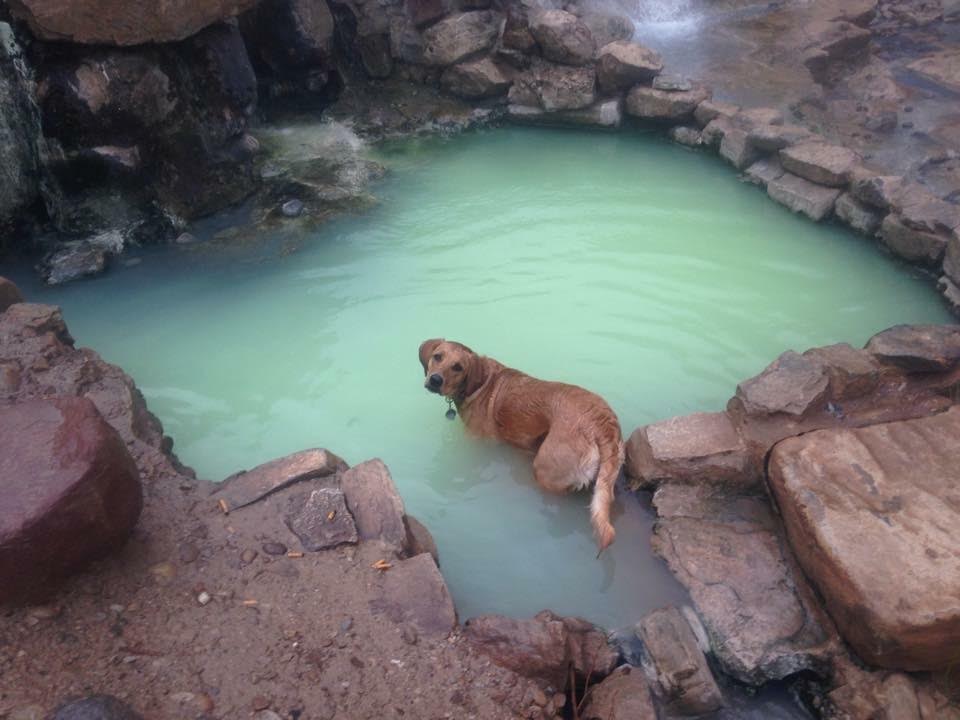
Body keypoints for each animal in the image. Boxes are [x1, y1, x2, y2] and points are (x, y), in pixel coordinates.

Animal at [418, 338, 628, 552]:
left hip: (545, 471)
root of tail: (601, 422)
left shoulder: (476, 440)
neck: (480, 382)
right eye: (437, 357)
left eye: (458, 367)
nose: (435, 380)